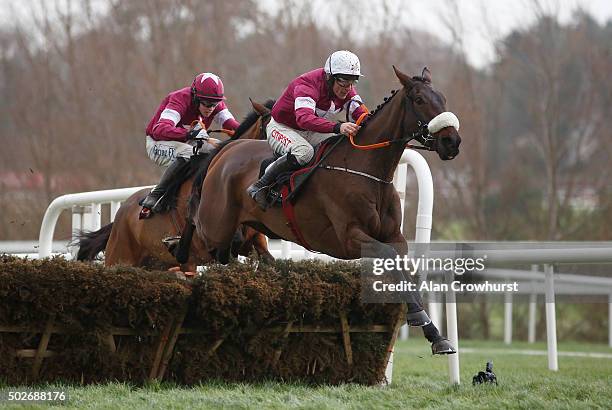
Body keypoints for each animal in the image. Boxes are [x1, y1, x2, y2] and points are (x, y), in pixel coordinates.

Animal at [194, 67, 462, 352]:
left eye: (443, 98)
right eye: (419, 100)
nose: (452, 142)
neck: (366, 170)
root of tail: (226, 151)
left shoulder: (395, 237)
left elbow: (401, 267)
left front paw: (435, 334)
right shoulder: (349, 238)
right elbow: (387, 256)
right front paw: (419, 316)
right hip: (215, 229)